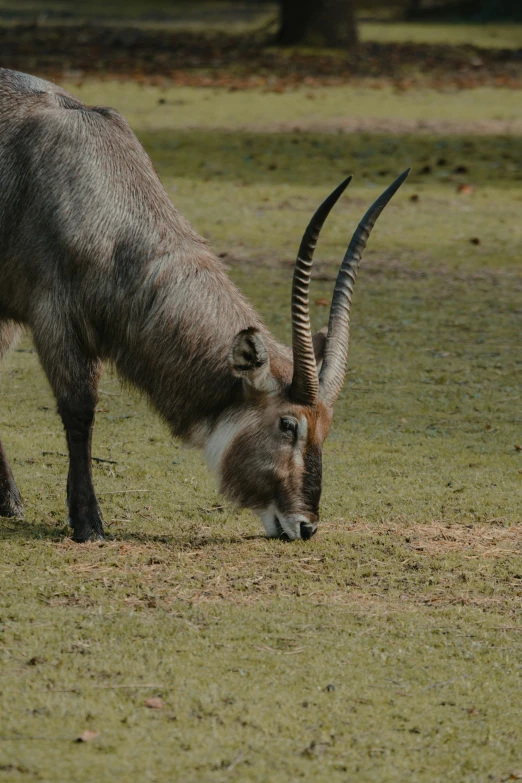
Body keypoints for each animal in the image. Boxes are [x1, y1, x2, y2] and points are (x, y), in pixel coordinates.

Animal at [0, 67, 406, 544]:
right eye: (288, 424)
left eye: (325, 428)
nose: (305, 526)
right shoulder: (54, 318)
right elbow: (79, 409)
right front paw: (87, 522)